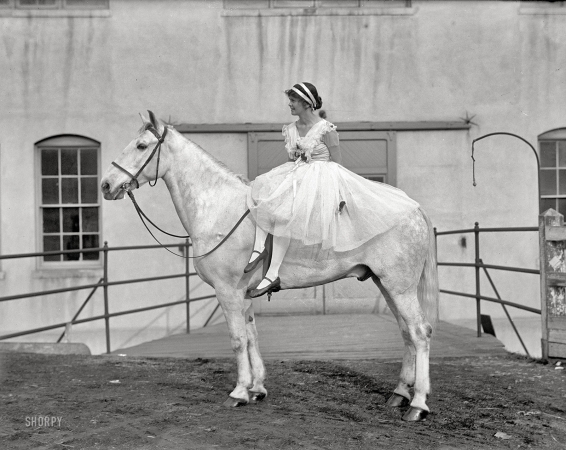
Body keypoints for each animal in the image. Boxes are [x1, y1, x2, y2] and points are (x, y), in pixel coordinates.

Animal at [101, 112, 440, 422]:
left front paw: (239, 392)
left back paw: (418, 404)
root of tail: (413, 208)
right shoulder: (242, 294)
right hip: (388, 286)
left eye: (142, 146)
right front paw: (256, 388)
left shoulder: (227, 292)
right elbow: (251, 336)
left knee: (420, 333)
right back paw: (400, 393)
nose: (106, 184)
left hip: (399, 288)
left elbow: (238, 340)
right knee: (407, 333)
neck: (219, 208)